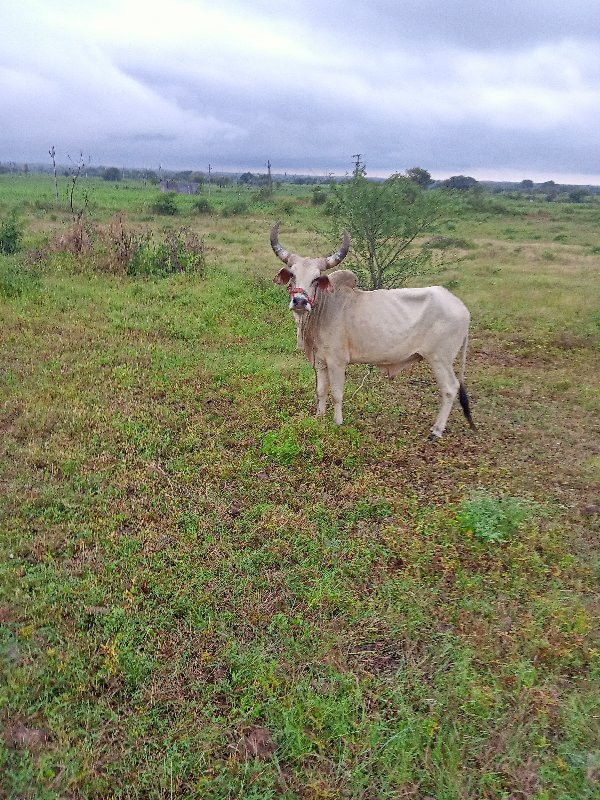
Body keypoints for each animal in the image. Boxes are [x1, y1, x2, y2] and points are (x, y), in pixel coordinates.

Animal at [270, 222, 476, 440]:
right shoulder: (320, 361)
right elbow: (320, 390)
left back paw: (436, 431)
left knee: (450, 388)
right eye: (292, 275)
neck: (323, 309)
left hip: (440, 359)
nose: (300, 301)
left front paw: (338, 422)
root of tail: (462, 307)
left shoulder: (337, 361)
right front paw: (319, 417)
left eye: (316, 278)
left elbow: (336, 393)